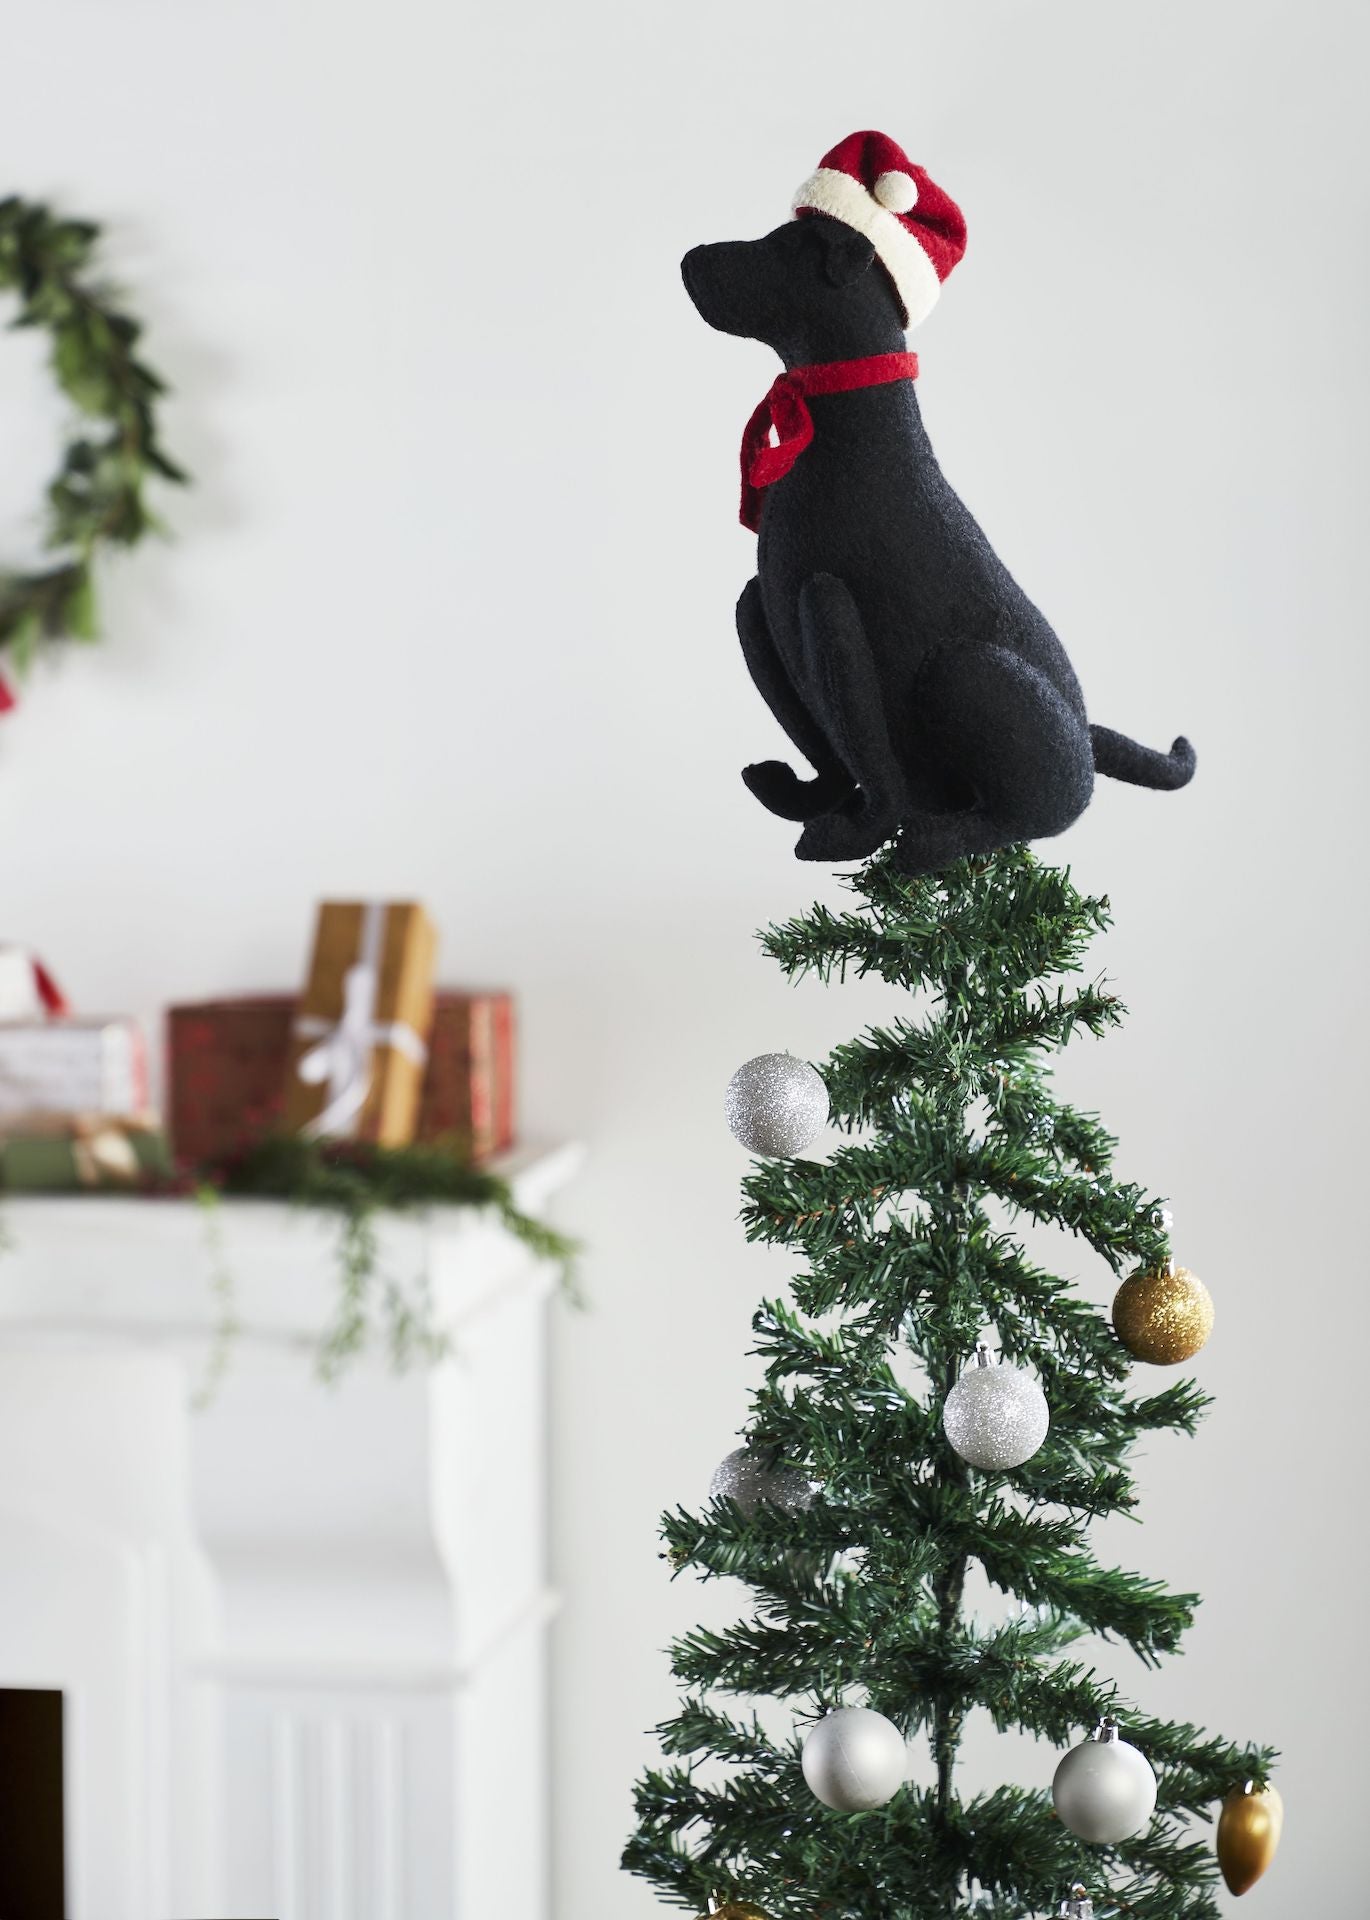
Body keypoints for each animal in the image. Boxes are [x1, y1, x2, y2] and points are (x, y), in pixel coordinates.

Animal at [679, 149, 1189, 879]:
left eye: (780, 248)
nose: (688, 259)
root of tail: (1088, 737)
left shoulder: (828, 607)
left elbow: (873, 765)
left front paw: (858, 838)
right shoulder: (770, 608)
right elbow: (832, 757)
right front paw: (807, 801)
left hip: (964, 673)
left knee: (1040, 812)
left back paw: (937, 842)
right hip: (764, 615)